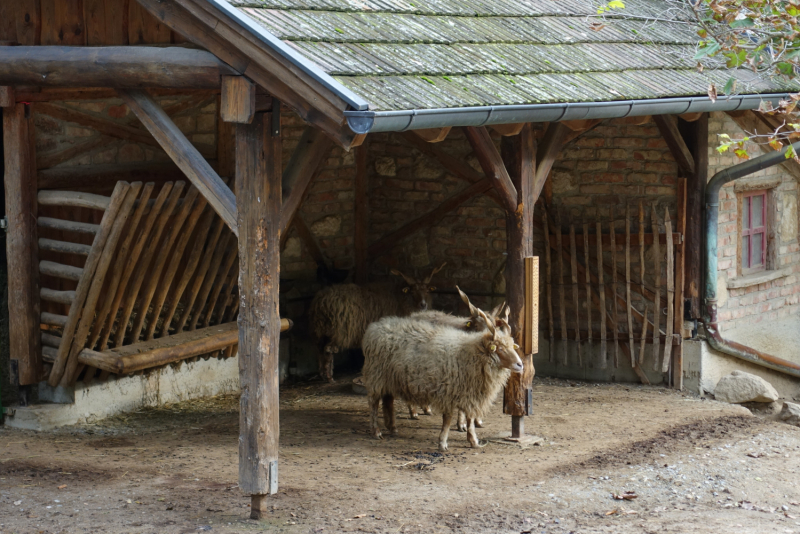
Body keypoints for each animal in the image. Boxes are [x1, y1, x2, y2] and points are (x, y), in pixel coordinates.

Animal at [362, 302, 524, 452]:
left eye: (513, 346)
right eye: (500, 348)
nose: (520, 364)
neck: (471, 353)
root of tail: (376, 327)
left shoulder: (470, 392)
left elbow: (470, 418)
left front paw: (473, 441)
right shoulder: (448, 391)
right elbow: (448, 419)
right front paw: (443, 443)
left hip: (389, 378)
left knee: (388, 401)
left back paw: (393, 428)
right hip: (376, 376)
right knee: (373, 403)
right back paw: (376, 431)